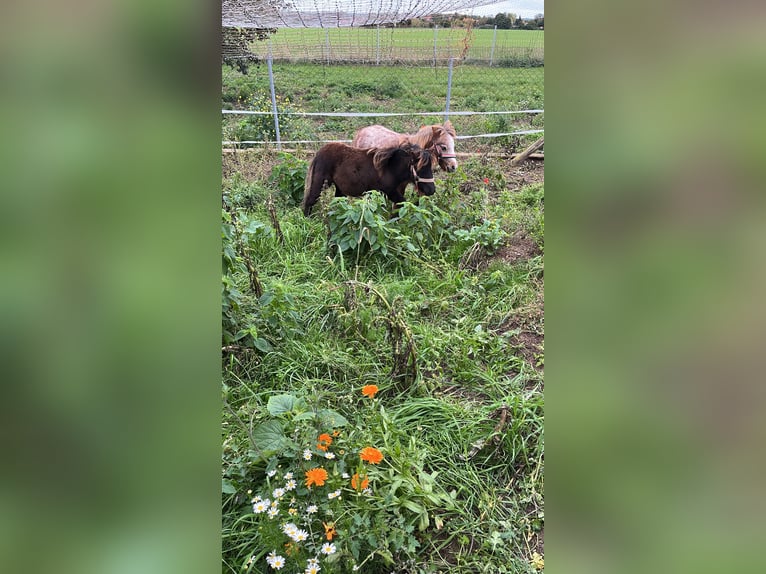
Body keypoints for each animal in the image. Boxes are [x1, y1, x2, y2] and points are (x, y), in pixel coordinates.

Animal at [304, 143, 436, 217]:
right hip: (320, 183)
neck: (389, 167)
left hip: (339, 189)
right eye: (420, 168)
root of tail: (319, 152)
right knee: (310, 201)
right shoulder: (387, 192)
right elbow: (401, 202)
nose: (432, 190)